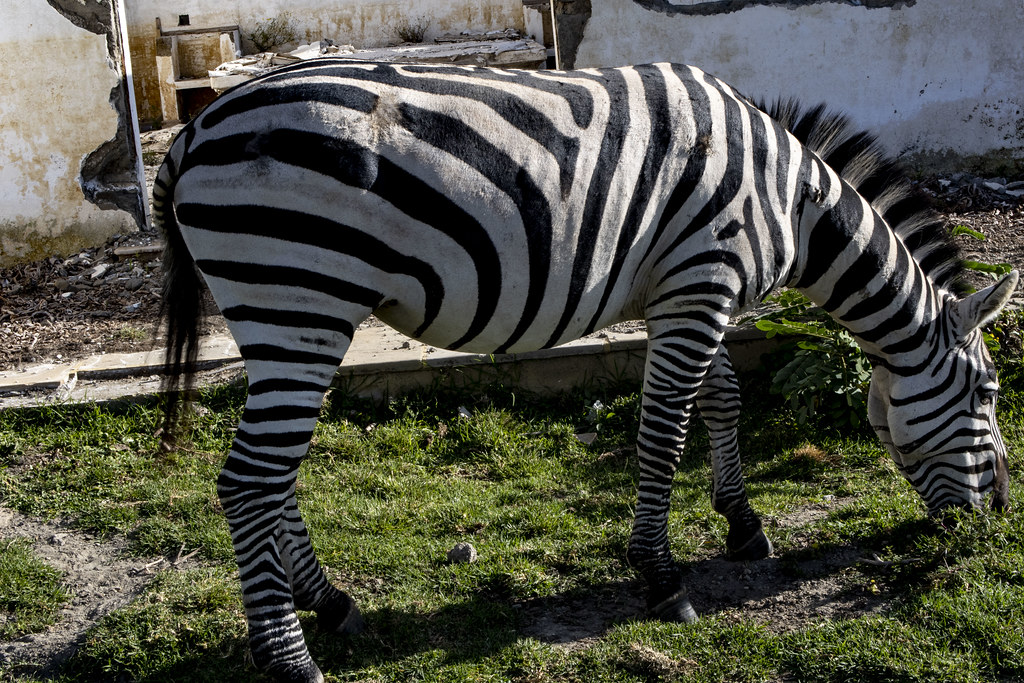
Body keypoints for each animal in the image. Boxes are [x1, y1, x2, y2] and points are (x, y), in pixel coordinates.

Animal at [155, 60, 1017, 682]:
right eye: (988, 392)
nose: (1001, 512)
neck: (795, 202)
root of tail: (195, 128)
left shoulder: (686, 290)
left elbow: (723, 399)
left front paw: (742, 523)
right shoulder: (703, 281)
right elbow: (665, 432)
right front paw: (662, 578)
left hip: (288, 316)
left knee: (276, 477)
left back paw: (330, 603)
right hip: (298, 293)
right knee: (249, 480)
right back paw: (290, 658)